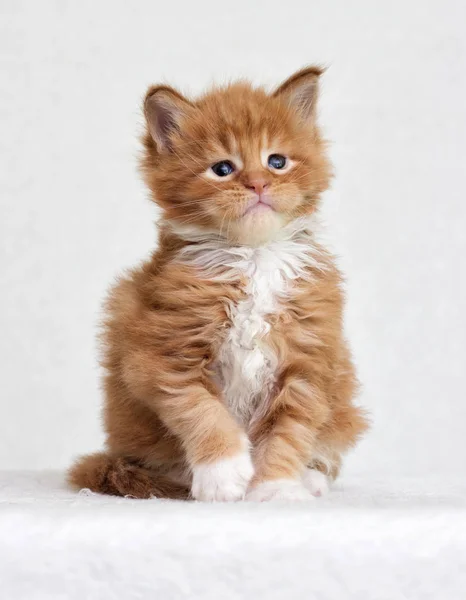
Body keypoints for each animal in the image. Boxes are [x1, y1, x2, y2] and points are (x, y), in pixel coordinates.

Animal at [69, 67, 368, 502]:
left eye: (277, 161)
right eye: (222, 169)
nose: (258, 184)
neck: (252, 258)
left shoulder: (308, 362)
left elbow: (288, 434)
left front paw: (277, 487)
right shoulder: (165, 353)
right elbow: (202, 411)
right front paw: (222, 475)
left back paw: (310, 479)